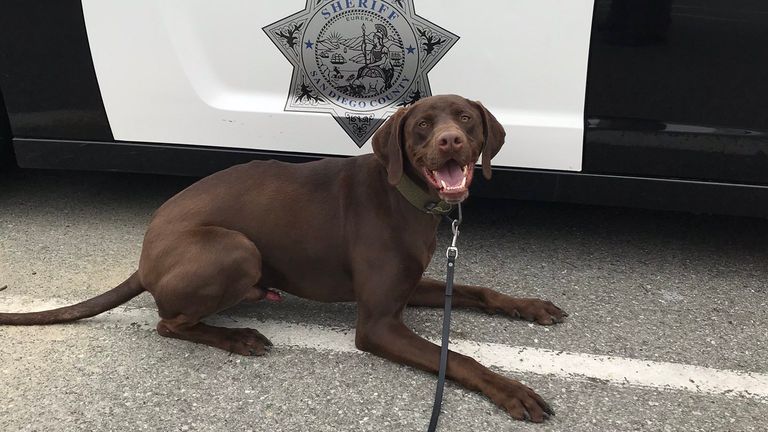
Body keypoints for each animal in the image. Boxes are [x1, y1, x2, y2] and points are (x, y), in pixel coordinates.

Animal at [0, 94, 564, 422]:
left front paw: (530, 306)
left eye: (465, 118)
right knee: (168, 322)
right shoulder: (378, 323)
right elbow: (459, 357)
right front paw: (513, 391)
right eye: (423, 125)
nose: (450, 141)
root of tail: (144, 256)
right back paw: (238, 336)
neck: (406, 197)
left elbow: (479, 291)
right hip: (236, 248)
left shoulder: (412, 287)